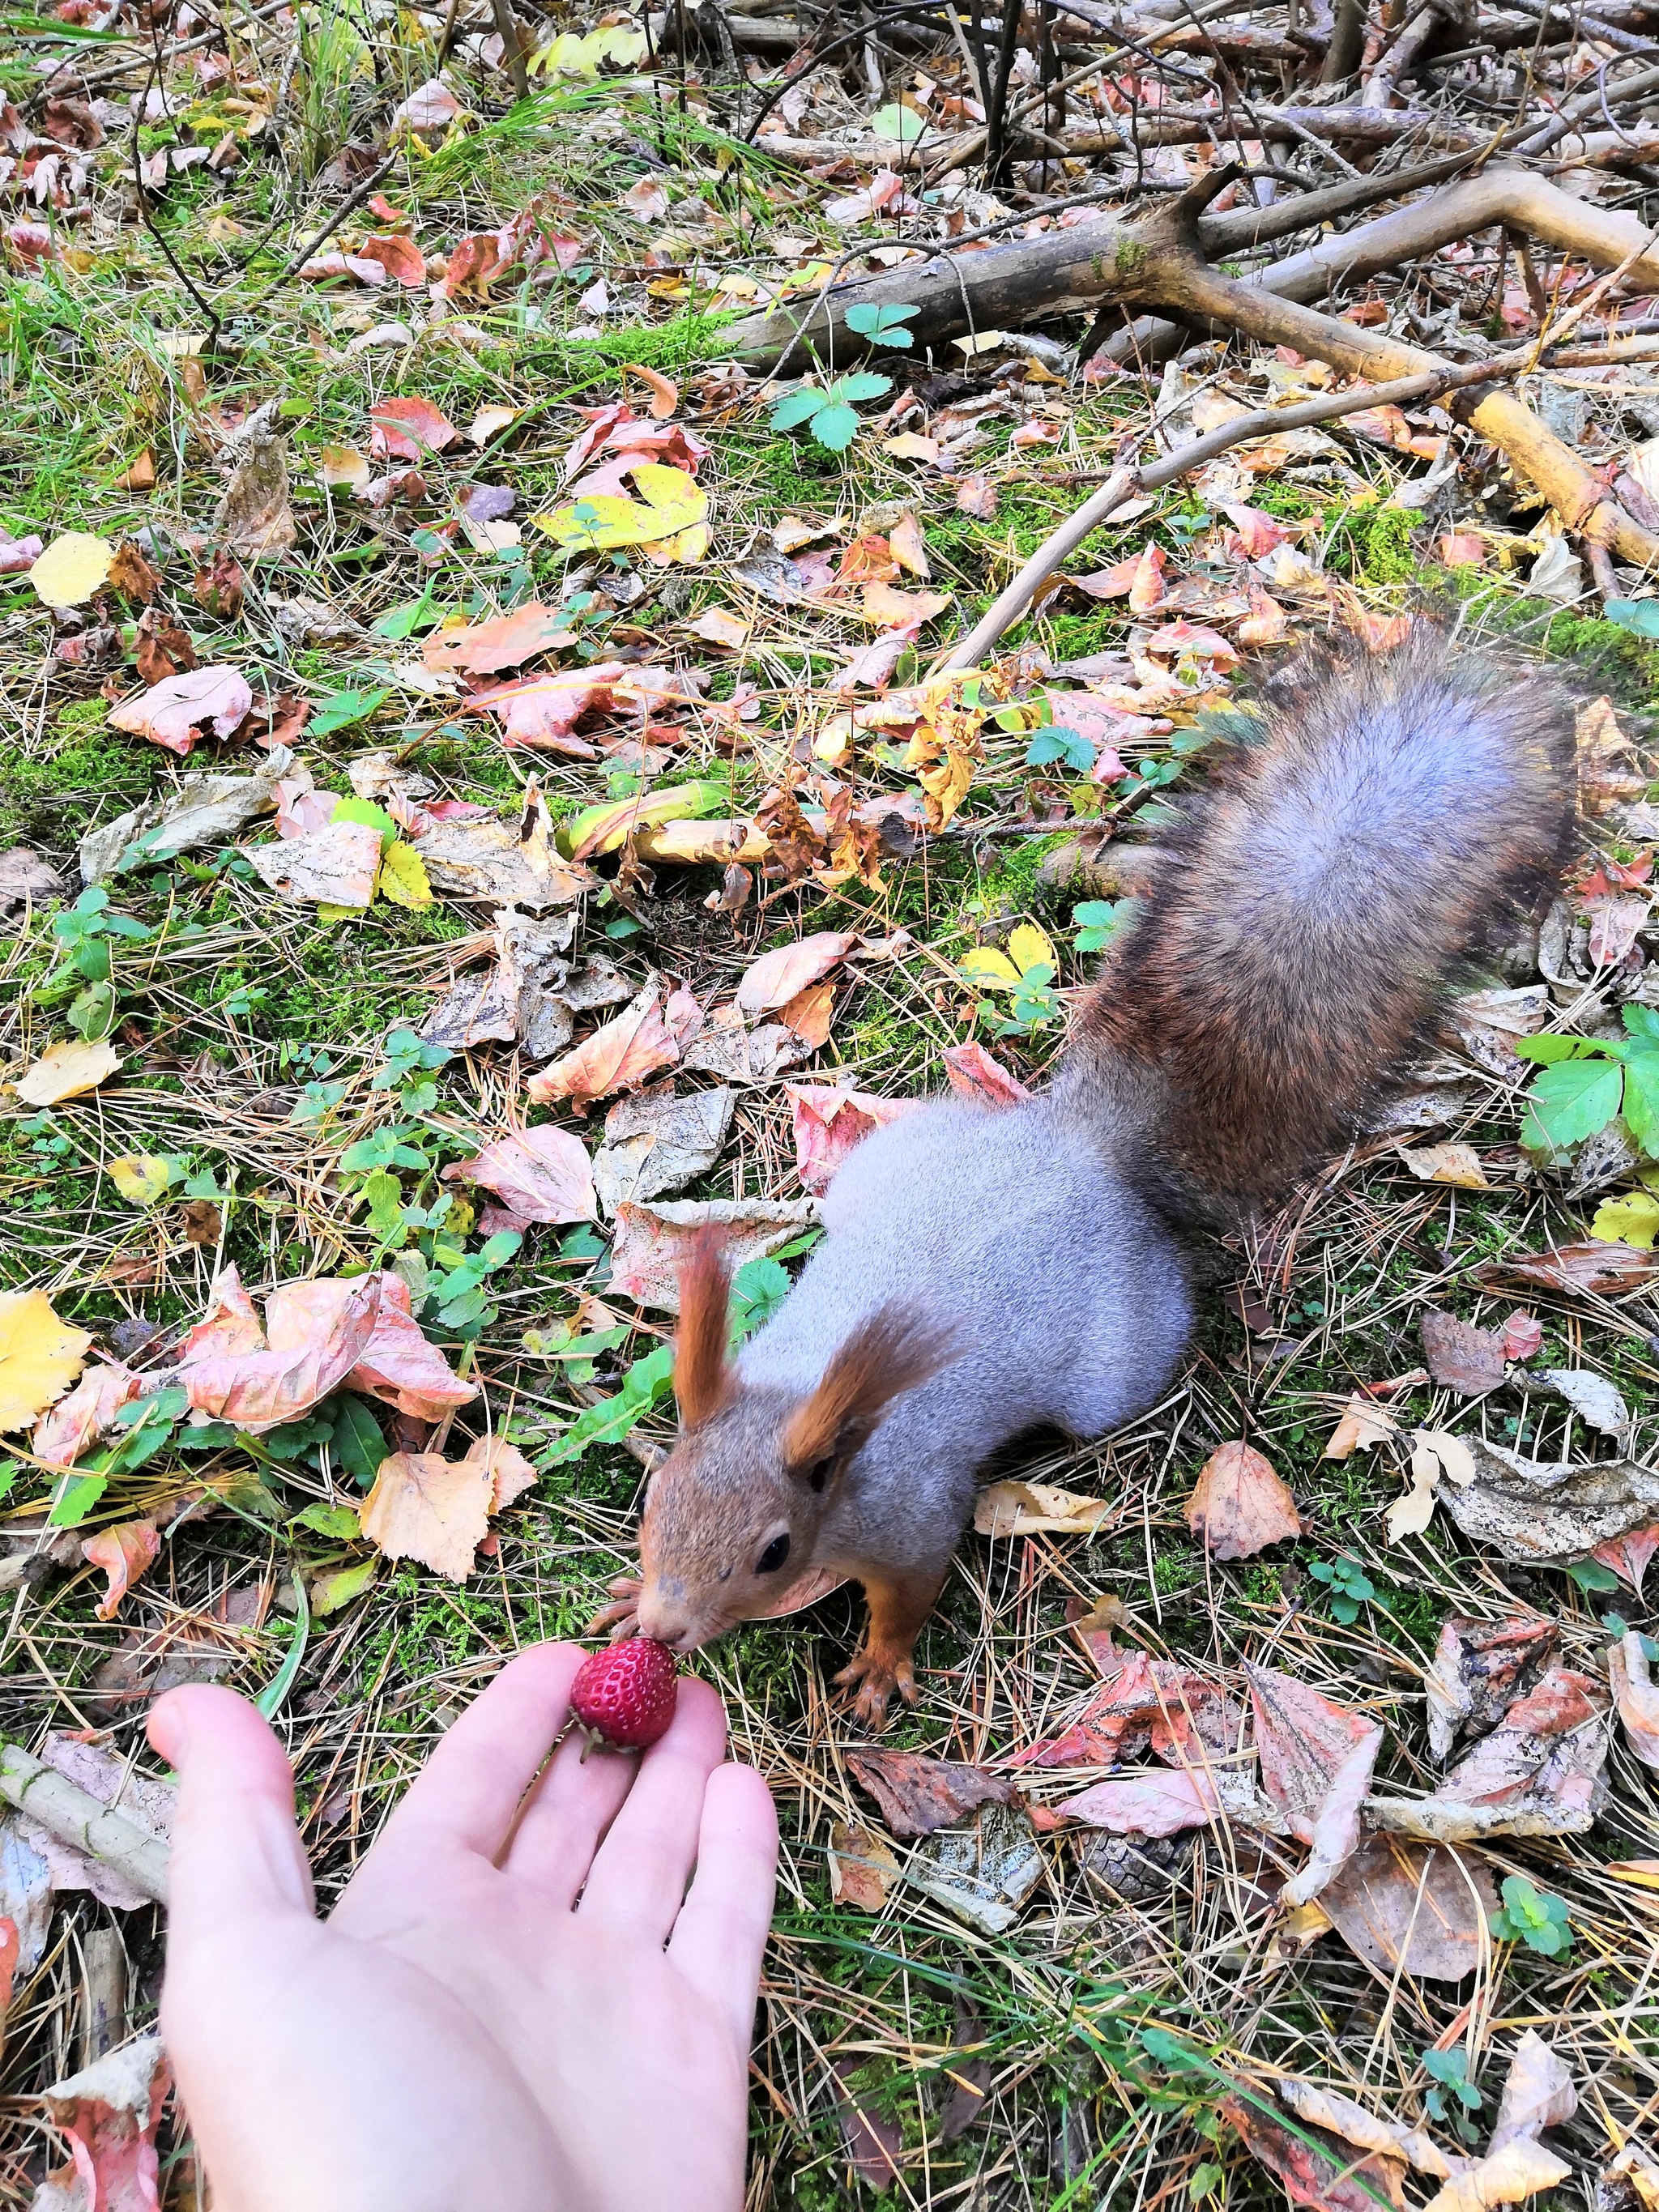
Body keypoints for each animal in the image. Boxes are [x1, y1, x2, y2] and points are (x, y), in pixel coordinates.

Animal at [592, 633, 1575, 1716]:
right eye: (653, 1495)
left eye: (771, 1552)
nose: (664, 1629)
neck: (813, 1412)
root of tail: (1077, 1148)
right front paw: (622, 1598)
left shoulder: (911, 1514)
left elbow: (910, 1593)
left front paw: (881, 1666)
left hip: (1117, 1361)